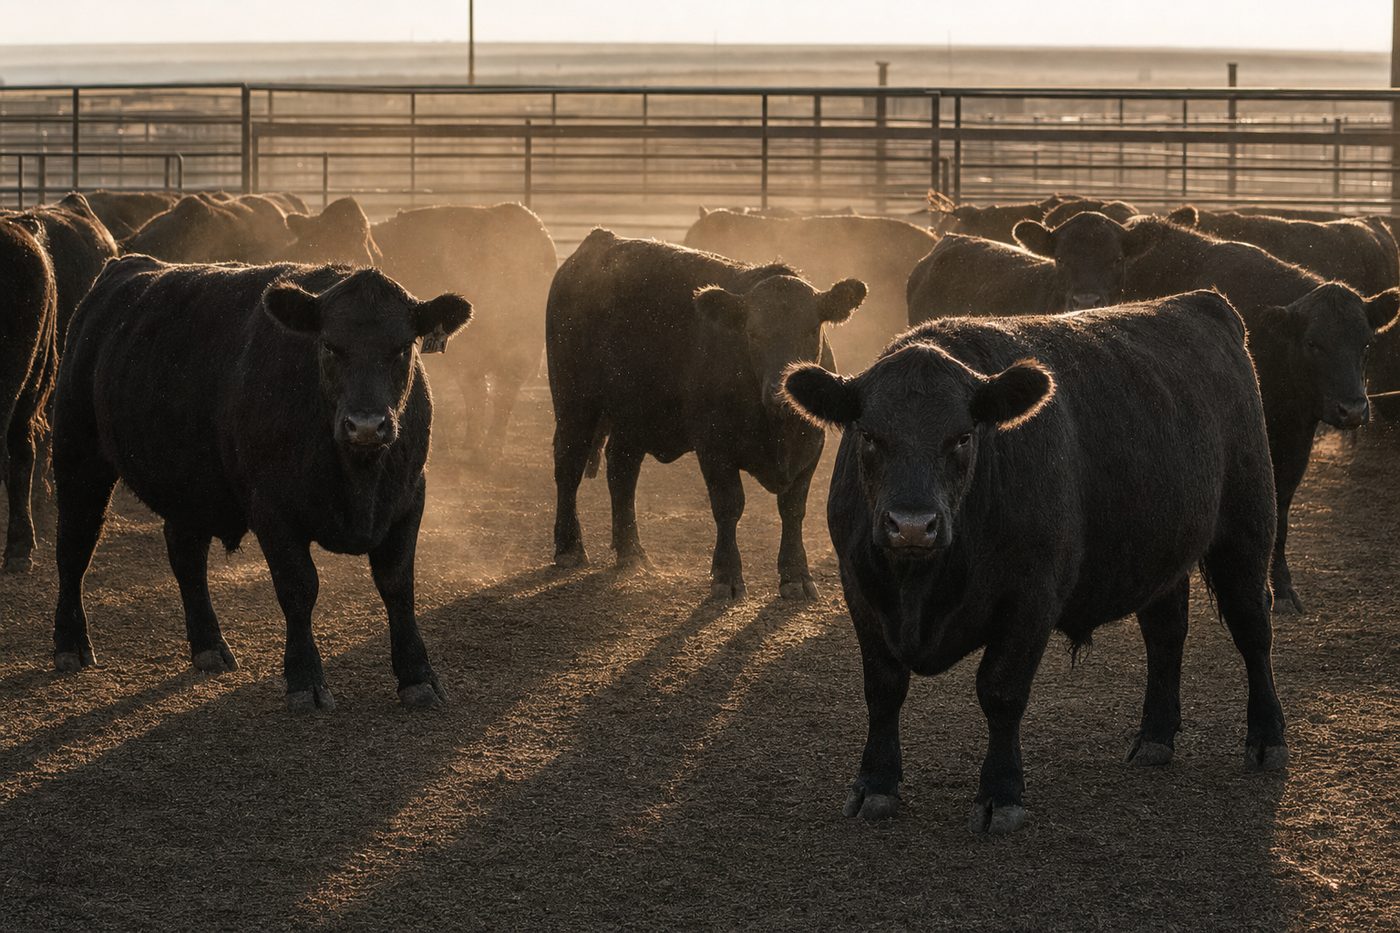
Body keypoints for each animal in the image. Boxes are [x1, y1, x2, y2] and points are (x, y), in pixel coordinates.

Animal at [50, 257, 472, 711]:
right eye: (329, 345)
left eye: (403, 348)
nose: (365, 425)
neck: (358, 476)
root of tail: (122, 267)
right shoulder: (273, 510)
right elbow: (299, 588)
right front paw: (305, 679)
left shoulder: (408, 499)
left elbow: (397, 585)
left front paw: (419, 676)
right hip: (78, 456)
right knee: (75, 547)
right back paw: (70, 645)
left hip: (190, 485)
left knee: (185, 556)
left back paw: (209, 646)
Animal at [548, 230, 865, 599]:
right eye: (752, 333)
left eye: (811, 330)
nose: (780, 391)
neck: (777, 430)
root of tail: (600, 240)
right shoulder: (714, 445)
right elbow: (729, 505)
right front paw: (726, 575)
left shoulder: (811, 446)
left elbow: (792, 509)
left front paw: (796, 576)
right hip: (574, 402)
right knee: (568, 466)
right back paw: (569, 547)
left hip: (632, 416)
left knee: (622, 473)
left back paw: (632, 553)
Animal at [781, 291, 1287, 834]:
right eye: (869, 435)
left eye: (963, 436)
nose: (913, 525)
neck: (923, 586)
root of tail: (1201, 302)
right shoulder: (861, 592)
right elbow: (883, 688)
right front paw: (875, 783)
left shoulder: (1031, 598)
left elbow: (1001, 692)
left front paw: (1001, 793)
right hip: (1160, 553)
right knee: (1166, 634)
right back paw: (1155, 736)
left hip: (1247, 530)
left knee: (1252, 628)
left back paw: (1267, 739)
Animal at [1012, 211, 1400, 612]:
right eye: (1313, 344)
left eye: (1366, 344)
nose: (1352, 409)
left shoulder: (1294, 433)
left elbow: (1281, 508)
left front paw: (1283, 587)